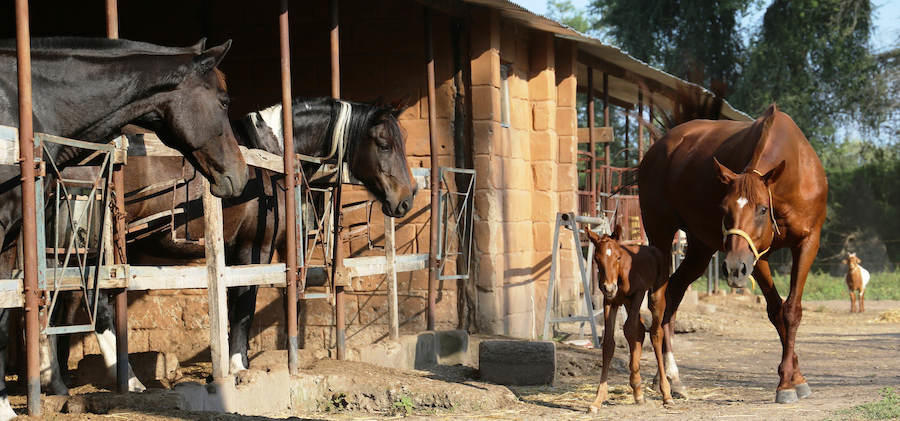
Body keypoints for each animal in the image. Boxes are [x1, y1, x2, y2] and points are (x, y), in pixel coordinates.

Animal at [62, 97, 416, 382]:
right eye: (384, 144)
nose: (406, 199)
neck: (269, 160)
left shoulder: (237, 251)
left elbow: (237, 304)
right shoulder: (254, 248)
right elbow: (245, 305)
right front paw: (237, 366)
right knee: (96, 305)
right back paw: (129, 380)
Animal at [584, 225, 672, 411]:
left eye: (617, 257)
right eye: (596, 259)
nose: (609, 287)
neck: (619, 274)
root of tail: (655, 250)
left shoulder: (638, 293)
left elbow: (630, 330)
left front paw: (637, 385)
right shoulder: (610, 302)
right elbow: (609, 343)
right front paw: (597, 400)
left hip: (655, 296)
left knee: (655, 333)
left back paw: (666, 394)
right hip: (626, 302)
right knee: (640, 329)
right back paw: (638, 389)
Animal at [638, 103, 828, 404]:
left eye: (762, 209)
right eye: (724, 209)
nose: (733, 268)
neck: (794, 174)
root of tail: (658, 148)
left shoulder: (808, 242)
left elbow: (790, 310)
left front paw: (795, 378)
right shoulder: (756, 255)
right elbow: (777, 311)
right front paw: (787, 381)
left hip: (701, 248)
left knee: (674, 292)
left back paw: (668, 377)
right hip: (661, 234)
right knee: (659, 298)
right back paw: (669, 375)